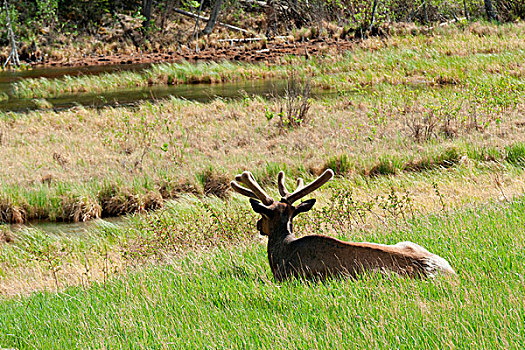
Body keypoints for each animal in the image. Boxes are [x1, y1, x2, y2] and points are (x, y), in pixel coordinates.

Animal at [229, 170, 454, 282]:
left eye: (263, 215)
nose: (258, 225)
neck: (281, 253)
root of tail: (451, 274)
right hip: (407, 243)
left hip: (378, 274)